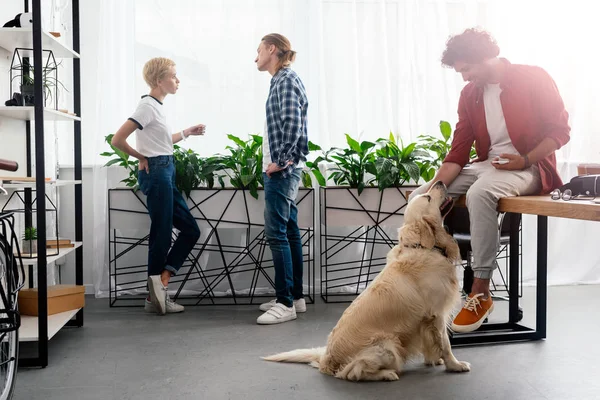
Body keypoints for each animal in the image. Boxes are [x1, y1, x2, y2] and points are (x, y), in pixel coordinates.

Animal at [262, 181, 468, 382]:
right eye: (428, 197)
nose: (440, 181)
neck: (424, 247)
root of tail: (326, 360)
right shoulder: (436, 313)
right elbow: (445, 343)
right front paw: (455, 365)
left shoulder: (425, 321)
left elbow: (432, 342)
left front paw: (435, 360)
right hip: (388, 345)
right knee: (353, 372)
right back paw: (387, 374)